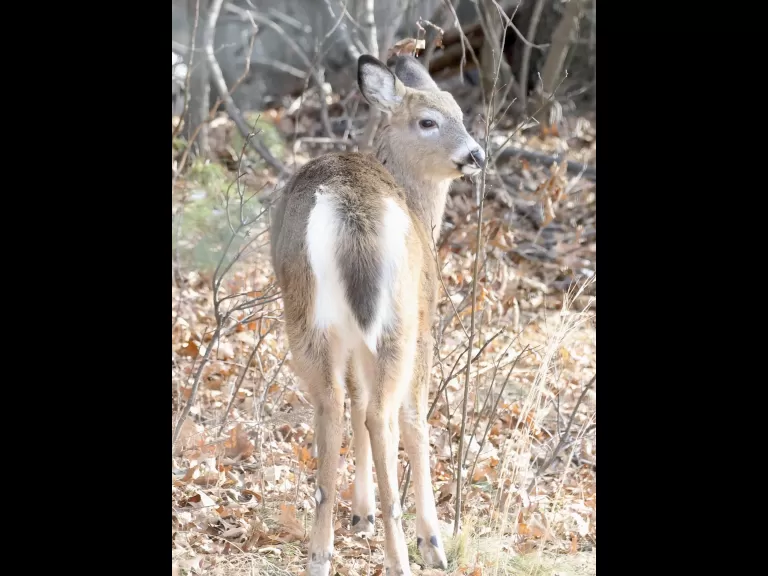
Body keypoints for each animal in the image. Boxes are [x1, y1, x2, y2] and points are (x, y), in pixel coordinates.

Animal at [269, 54, 485, 576]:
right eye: (428, 121)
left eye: (461, 113)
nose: (476, 155)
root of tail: (350, 211)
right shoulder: (425, 321)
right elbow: (414, 419)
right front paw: (431, 540)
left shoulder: (350, 337)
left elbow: (355, 399)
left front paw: (361, 514)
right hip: (397, 321)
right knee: (384, 414)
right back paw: (402, 552)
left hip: (307, 317)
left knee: (334, 406)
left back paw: (320, 551)